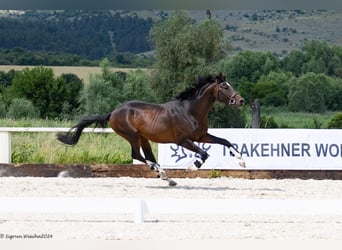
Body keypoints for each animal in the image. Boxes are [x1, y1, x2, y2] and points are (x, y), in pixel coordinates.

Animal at [58, 73, 246, 187]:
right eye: (225, 87)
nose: (241, 101)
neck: (191, 110)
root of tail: (113, 112)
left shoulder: (201, 136)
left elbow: (225, 141)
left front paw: (241, 160)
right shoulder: (183, 140)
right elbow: (204, 154)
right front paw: (192, 168)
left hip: (143, 138)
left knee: (148, 156)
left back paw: (166, 177)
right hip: (132, 136)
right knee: (137, 155)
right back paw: (163, 174)